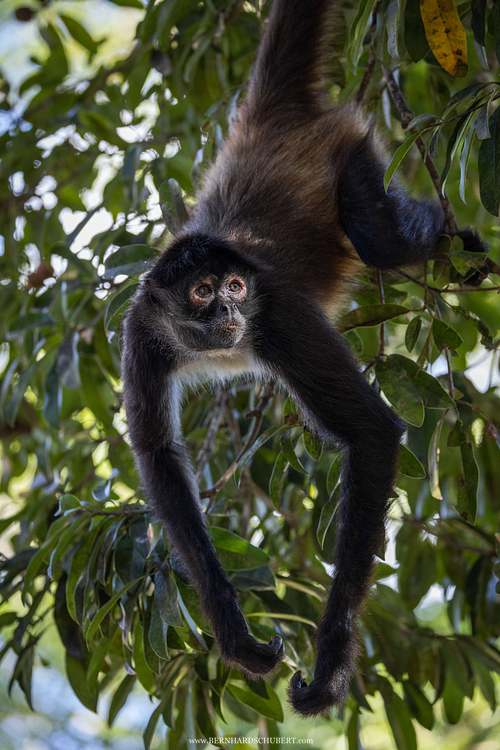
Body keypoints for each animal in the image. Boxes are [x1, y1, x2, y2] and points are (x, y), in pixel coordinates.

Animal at [122, 0, 488, 717]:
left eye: (237, 288)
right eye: (202, 293)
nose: (228, 310)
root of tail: (266, 119)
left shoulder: (279, 317)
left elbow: (371, 432)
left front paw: (332, 666)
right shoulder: (142, 329)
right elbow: (158, 455)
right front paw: (233, 633)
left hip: (353, 158)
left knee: (378, 240)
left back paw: (466, 248)